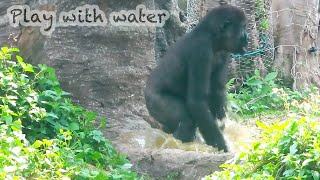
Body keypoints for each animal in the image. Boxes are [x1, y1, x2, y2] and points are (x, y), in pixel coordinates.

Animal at [144, 4, 248, 152]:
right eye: (243, 27)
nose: (246, 38)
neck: (212, 36)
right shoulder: (201, 50)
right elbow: (197, 101)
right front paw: (222, 147)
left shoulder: (224, 53)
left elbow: (216, 91)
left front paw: (221, 124)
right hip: (154, 102)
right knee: (187, 121)